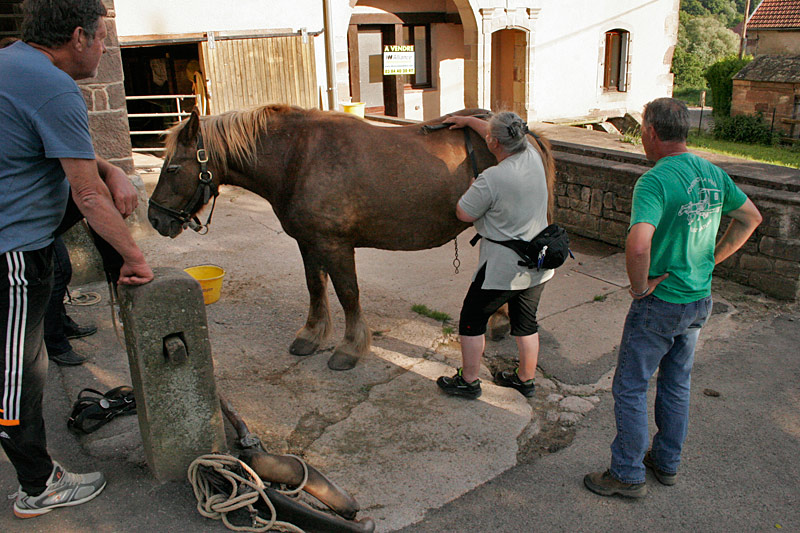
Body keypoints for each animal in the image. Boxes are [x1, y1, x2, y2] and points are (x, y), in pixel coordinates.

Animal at [147, 104, 552, 370]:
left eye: (173, 167)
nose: (154, 218)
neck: (298, 157)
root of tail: (529, 135)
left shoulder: (335, 245)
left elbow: (348, 293)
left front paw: (350, 348)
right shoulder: (308, 243)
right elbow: (315, 287)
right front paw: (311, 335)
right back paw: (499, 322)